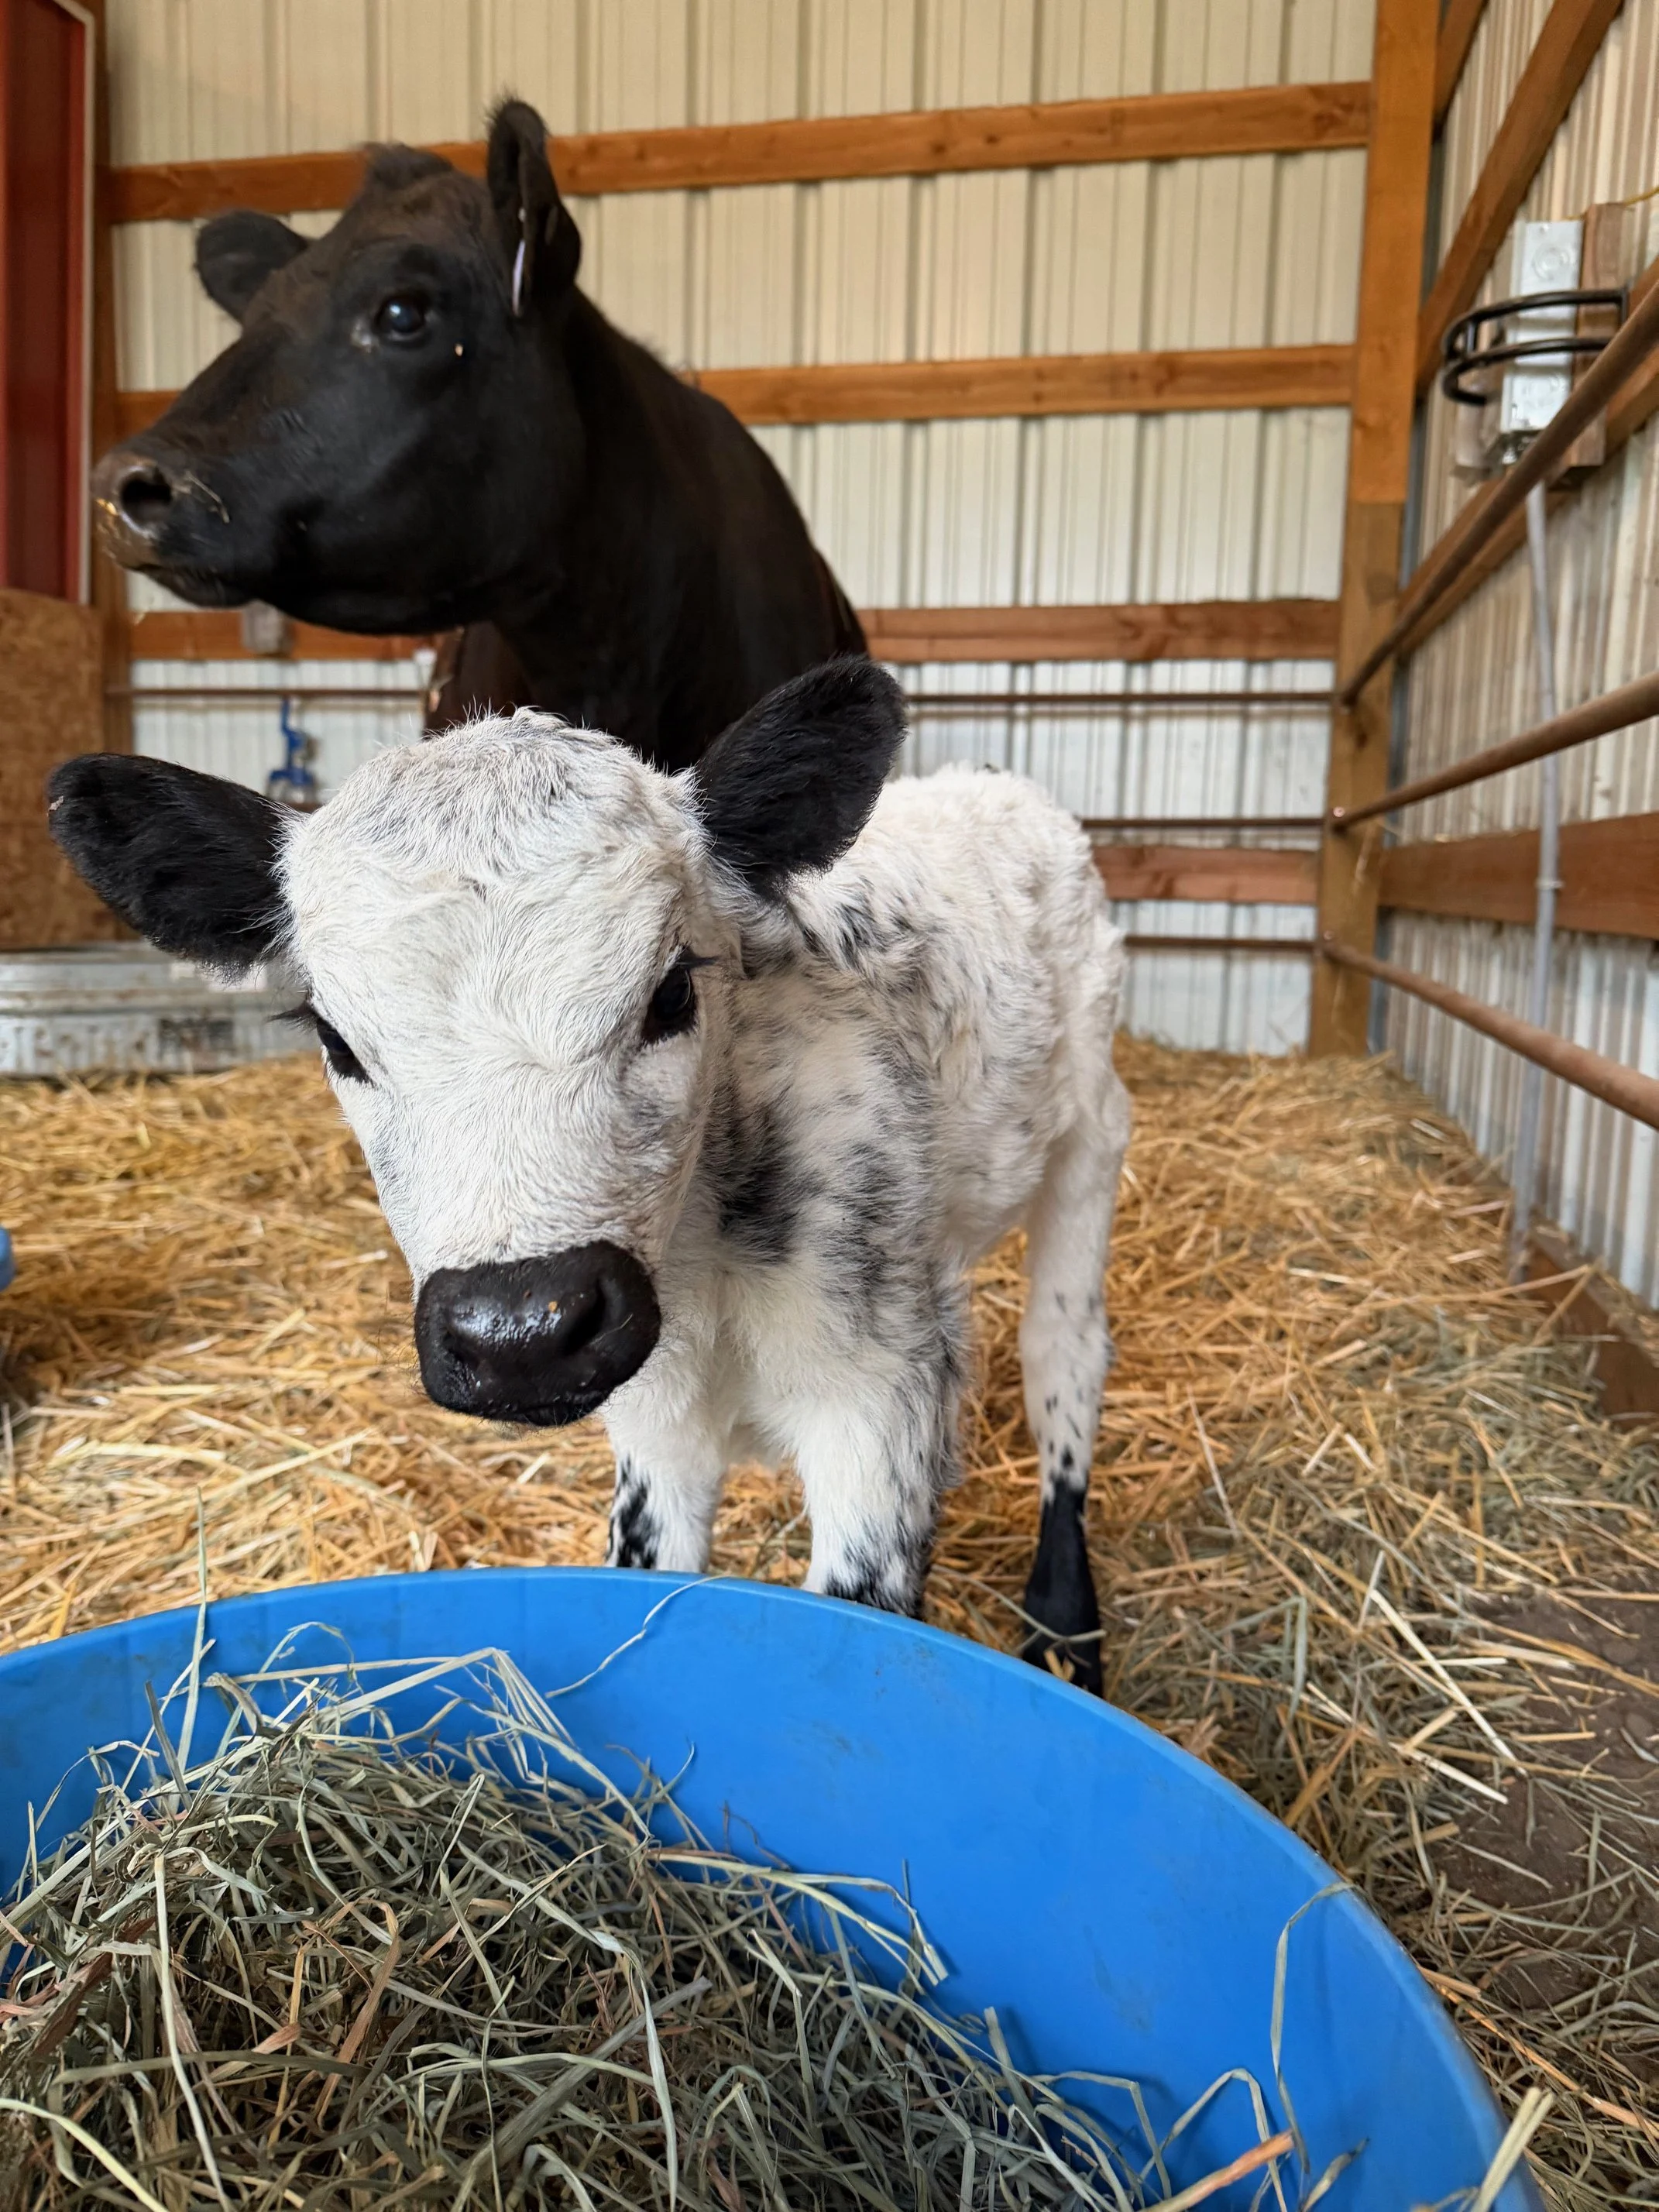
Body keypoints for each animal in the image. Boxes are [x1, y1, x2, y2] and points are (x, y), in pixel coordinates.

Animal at [47, 661, 1130, 1691]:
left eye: (673, 990)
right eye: (336, 1039)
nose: (521, 1334)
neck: (705, 1262)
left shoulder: (882, 1392)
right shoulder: (653, 1424)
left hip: (1092, 1133)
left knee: (1063, 1358)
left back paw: (1066, 1630)